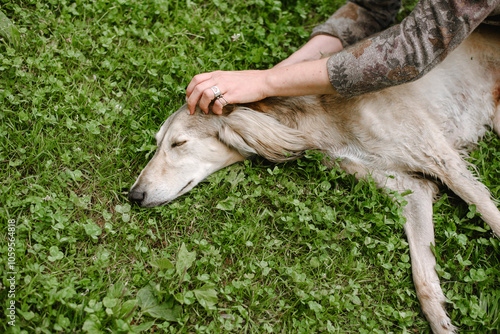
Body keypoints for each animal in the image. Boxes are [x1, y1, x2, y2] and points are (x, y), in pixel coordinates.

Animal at [130, 26, 500, 334]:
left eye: (179, 143)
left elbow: (489, 213)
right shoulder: (408, 189)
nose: (134, 195)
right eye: (157, 142)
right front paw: (441, 320)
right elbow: (423, 277)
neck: (323, 114)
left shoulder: (441, 159)